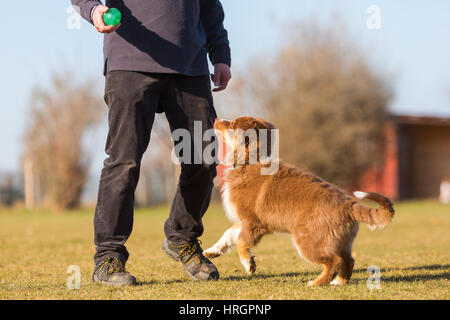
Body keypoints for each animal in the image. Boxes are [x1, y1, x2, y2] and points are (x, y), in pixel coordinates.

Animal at [204, 116, 394, 286]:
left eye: (233, 124)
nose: (216, 120)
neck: (250, 162)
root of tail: (350, 205)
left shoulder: (253, 223)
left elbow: (241, 243)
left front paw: (248, 264)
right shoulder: (243, 221)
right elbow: (228, 235)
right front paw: (212, 251)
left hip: (307, 240)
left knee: (334, 261)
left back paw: (316, 283)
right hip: (341, 241)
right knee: (349, 260)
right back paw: (338, 282)